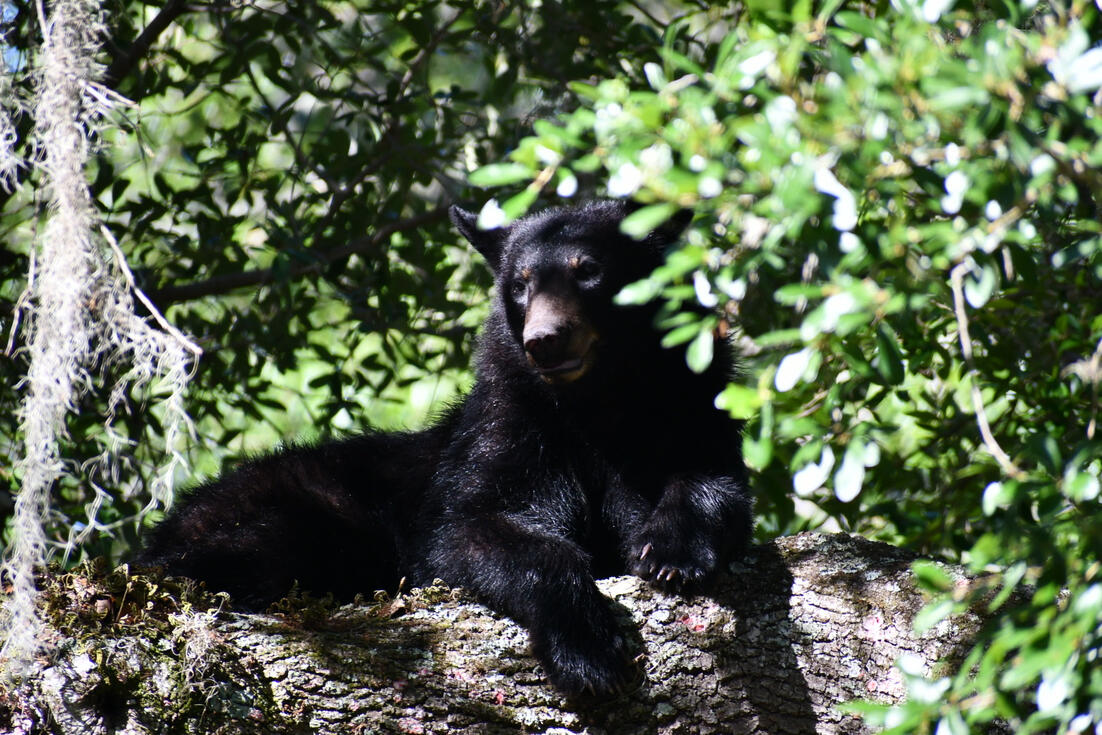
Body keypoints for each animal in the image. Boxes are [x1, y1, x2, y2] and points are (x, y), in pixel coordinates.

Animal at [138, 200, 753, 698]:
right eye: (521, 284)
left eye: (589, 271)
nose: (544, 341)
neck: (594, 402)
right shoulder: (510, 425)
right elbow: (473, 526)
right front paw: (588, 649)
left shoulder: (687, 400)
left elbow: (711, 475)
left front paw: (671, 551)